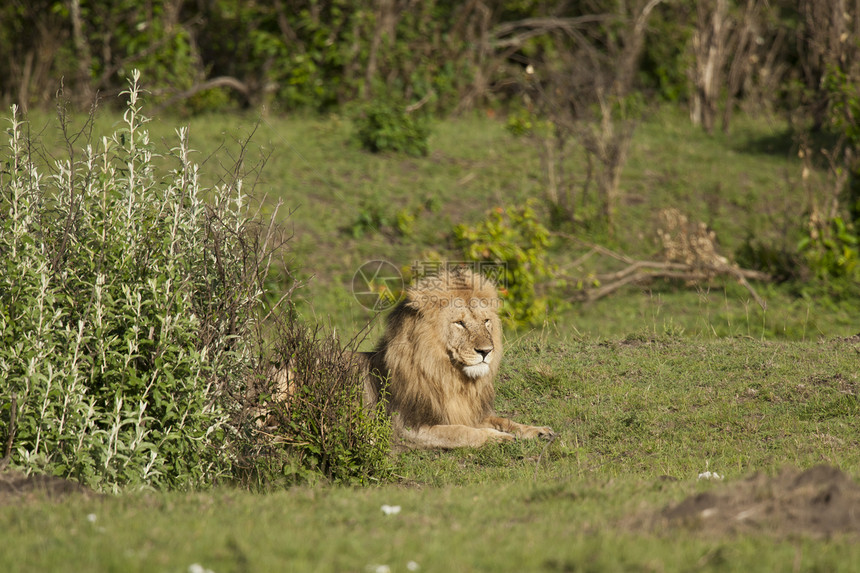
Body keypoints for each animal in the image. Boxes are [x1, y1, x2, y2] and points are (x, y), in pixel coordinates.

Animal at [358, 266, 556, 450]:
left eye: (486, 321)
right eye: (459, 323)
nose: (486, 351)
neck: (451, 379)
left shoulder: (467, 413)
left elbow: (501, 420)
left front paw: (536, 430)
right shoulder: (404, 429)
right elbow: (460, 431)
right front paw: (499, 438)